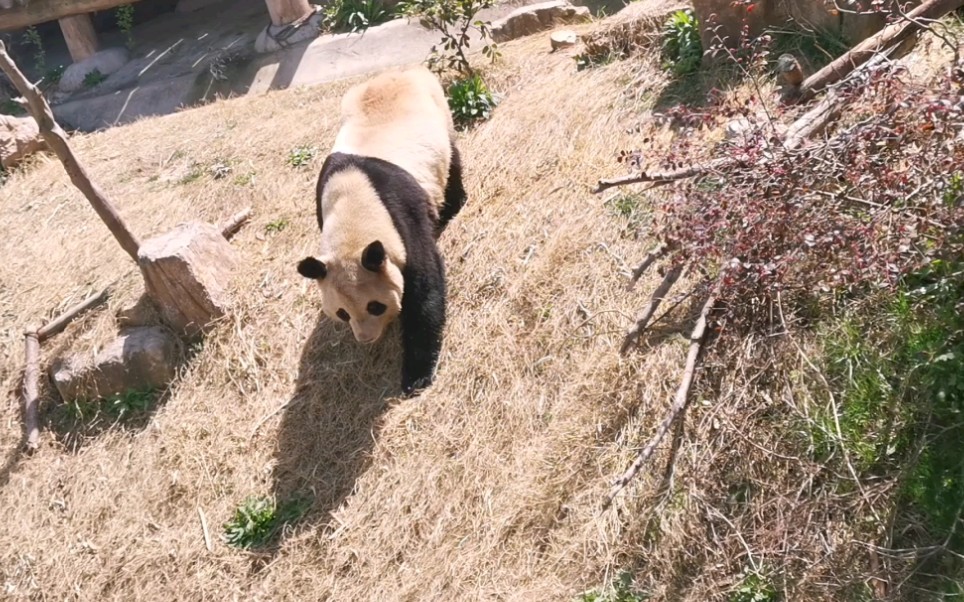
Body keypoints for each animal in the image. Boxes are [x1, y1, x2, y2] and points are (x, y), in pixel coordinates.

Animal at [298, 65, 470, 396]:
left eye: (375, 306)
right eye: (342, 313)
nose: (365, 338)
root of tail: (404, 70)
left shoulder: (403, 215)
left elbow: (425, 288)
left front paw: (415, 377)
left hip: (438, 110)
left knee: (452, 158)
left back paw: (453, 205)